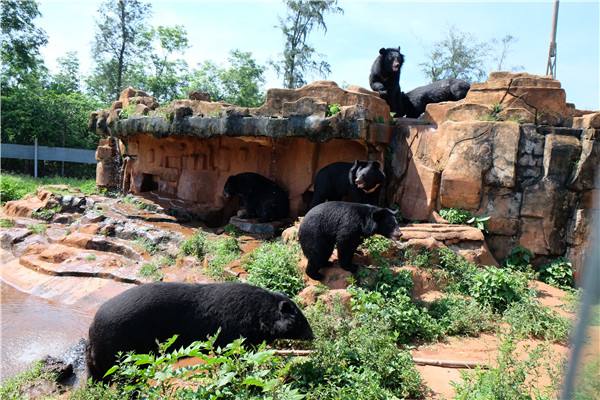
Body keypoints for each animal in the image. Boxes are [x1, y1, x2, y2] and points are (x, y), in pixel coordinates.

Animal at [87, 282, 316, 382]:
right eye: (302, 322)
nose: (312, 336)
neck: (261, 317)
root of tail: (91, 329)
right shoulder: (235, 329)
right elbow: (233, 355)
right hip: (122, 348)